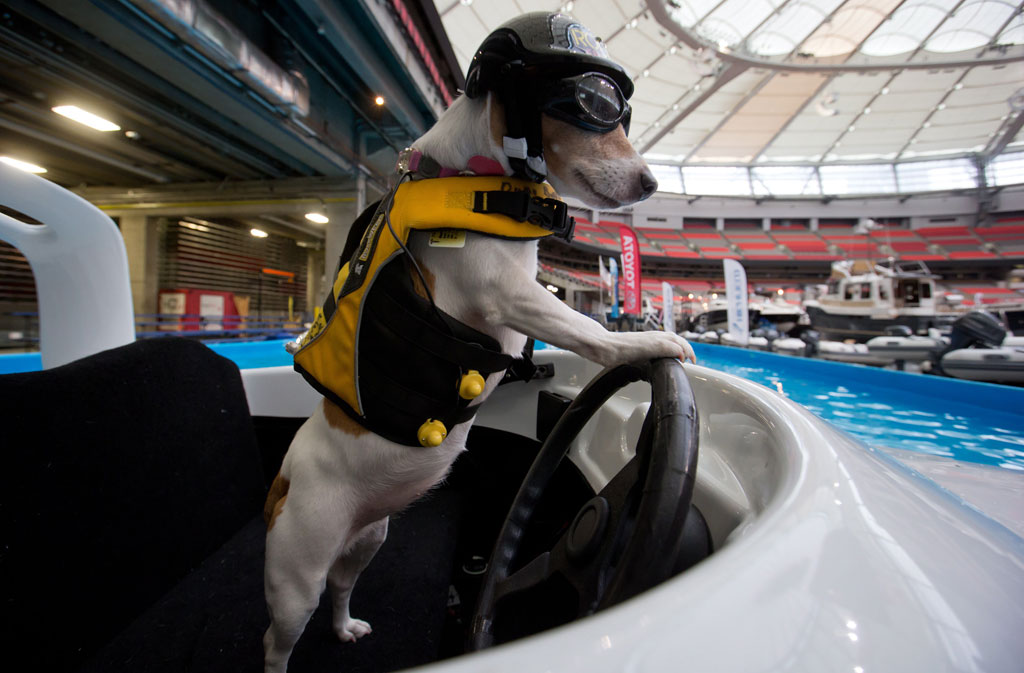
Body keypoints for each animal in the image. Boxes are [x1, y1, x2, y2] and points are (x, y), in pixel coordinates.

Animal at [262, 32, 696, 673]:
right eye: (592, 107)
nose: (650, 185)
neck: (472, 178)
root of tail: (282, 482)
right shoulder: (509, 295)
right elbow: (588, 328)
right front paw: (650, 339)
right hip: (297, 578)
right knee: (279, 639)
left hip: (367, 541)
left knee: (341, 591)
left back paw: (345, 629)